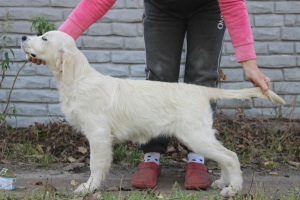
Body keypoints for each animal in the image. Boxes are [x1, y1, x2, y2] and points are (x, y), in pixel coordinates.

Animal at [21, 31, 286, 197]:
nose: (23, 37)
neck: (77, 79)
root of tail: (201, 89)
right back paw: (224, 181)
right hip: (202, 134)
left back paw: (234, 189)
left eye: (44, 37)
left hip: (195, 135)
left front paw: (88, 188)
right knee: (224, 156)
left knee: (230, 156)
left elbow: (95, 165)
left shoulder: (98, 134)